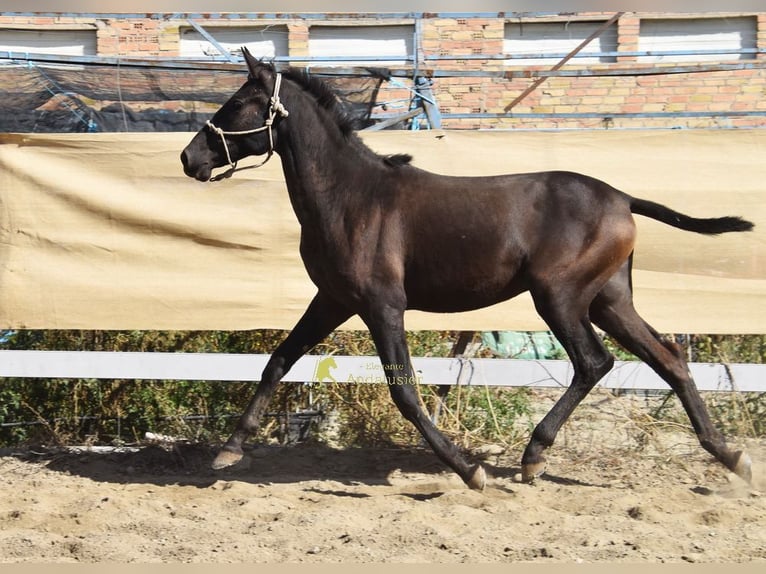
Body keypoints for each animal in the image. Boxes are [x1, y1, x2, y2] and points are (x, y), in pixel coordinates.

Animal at [181, 48, 755, 490]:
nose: (190, 158)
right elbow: (277, 360)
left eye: (237, 103)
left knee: (595, 363)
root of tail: (621, 197)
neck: (351, 197)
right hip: (609, 300)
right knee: (669, 358)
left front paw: (468, 470)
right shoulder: (334, 300)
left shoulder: (382, 305)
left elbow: (405, 391)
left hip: (560, 296)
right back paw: (730, 456)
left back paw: (534, 457)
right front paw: (229, 450)